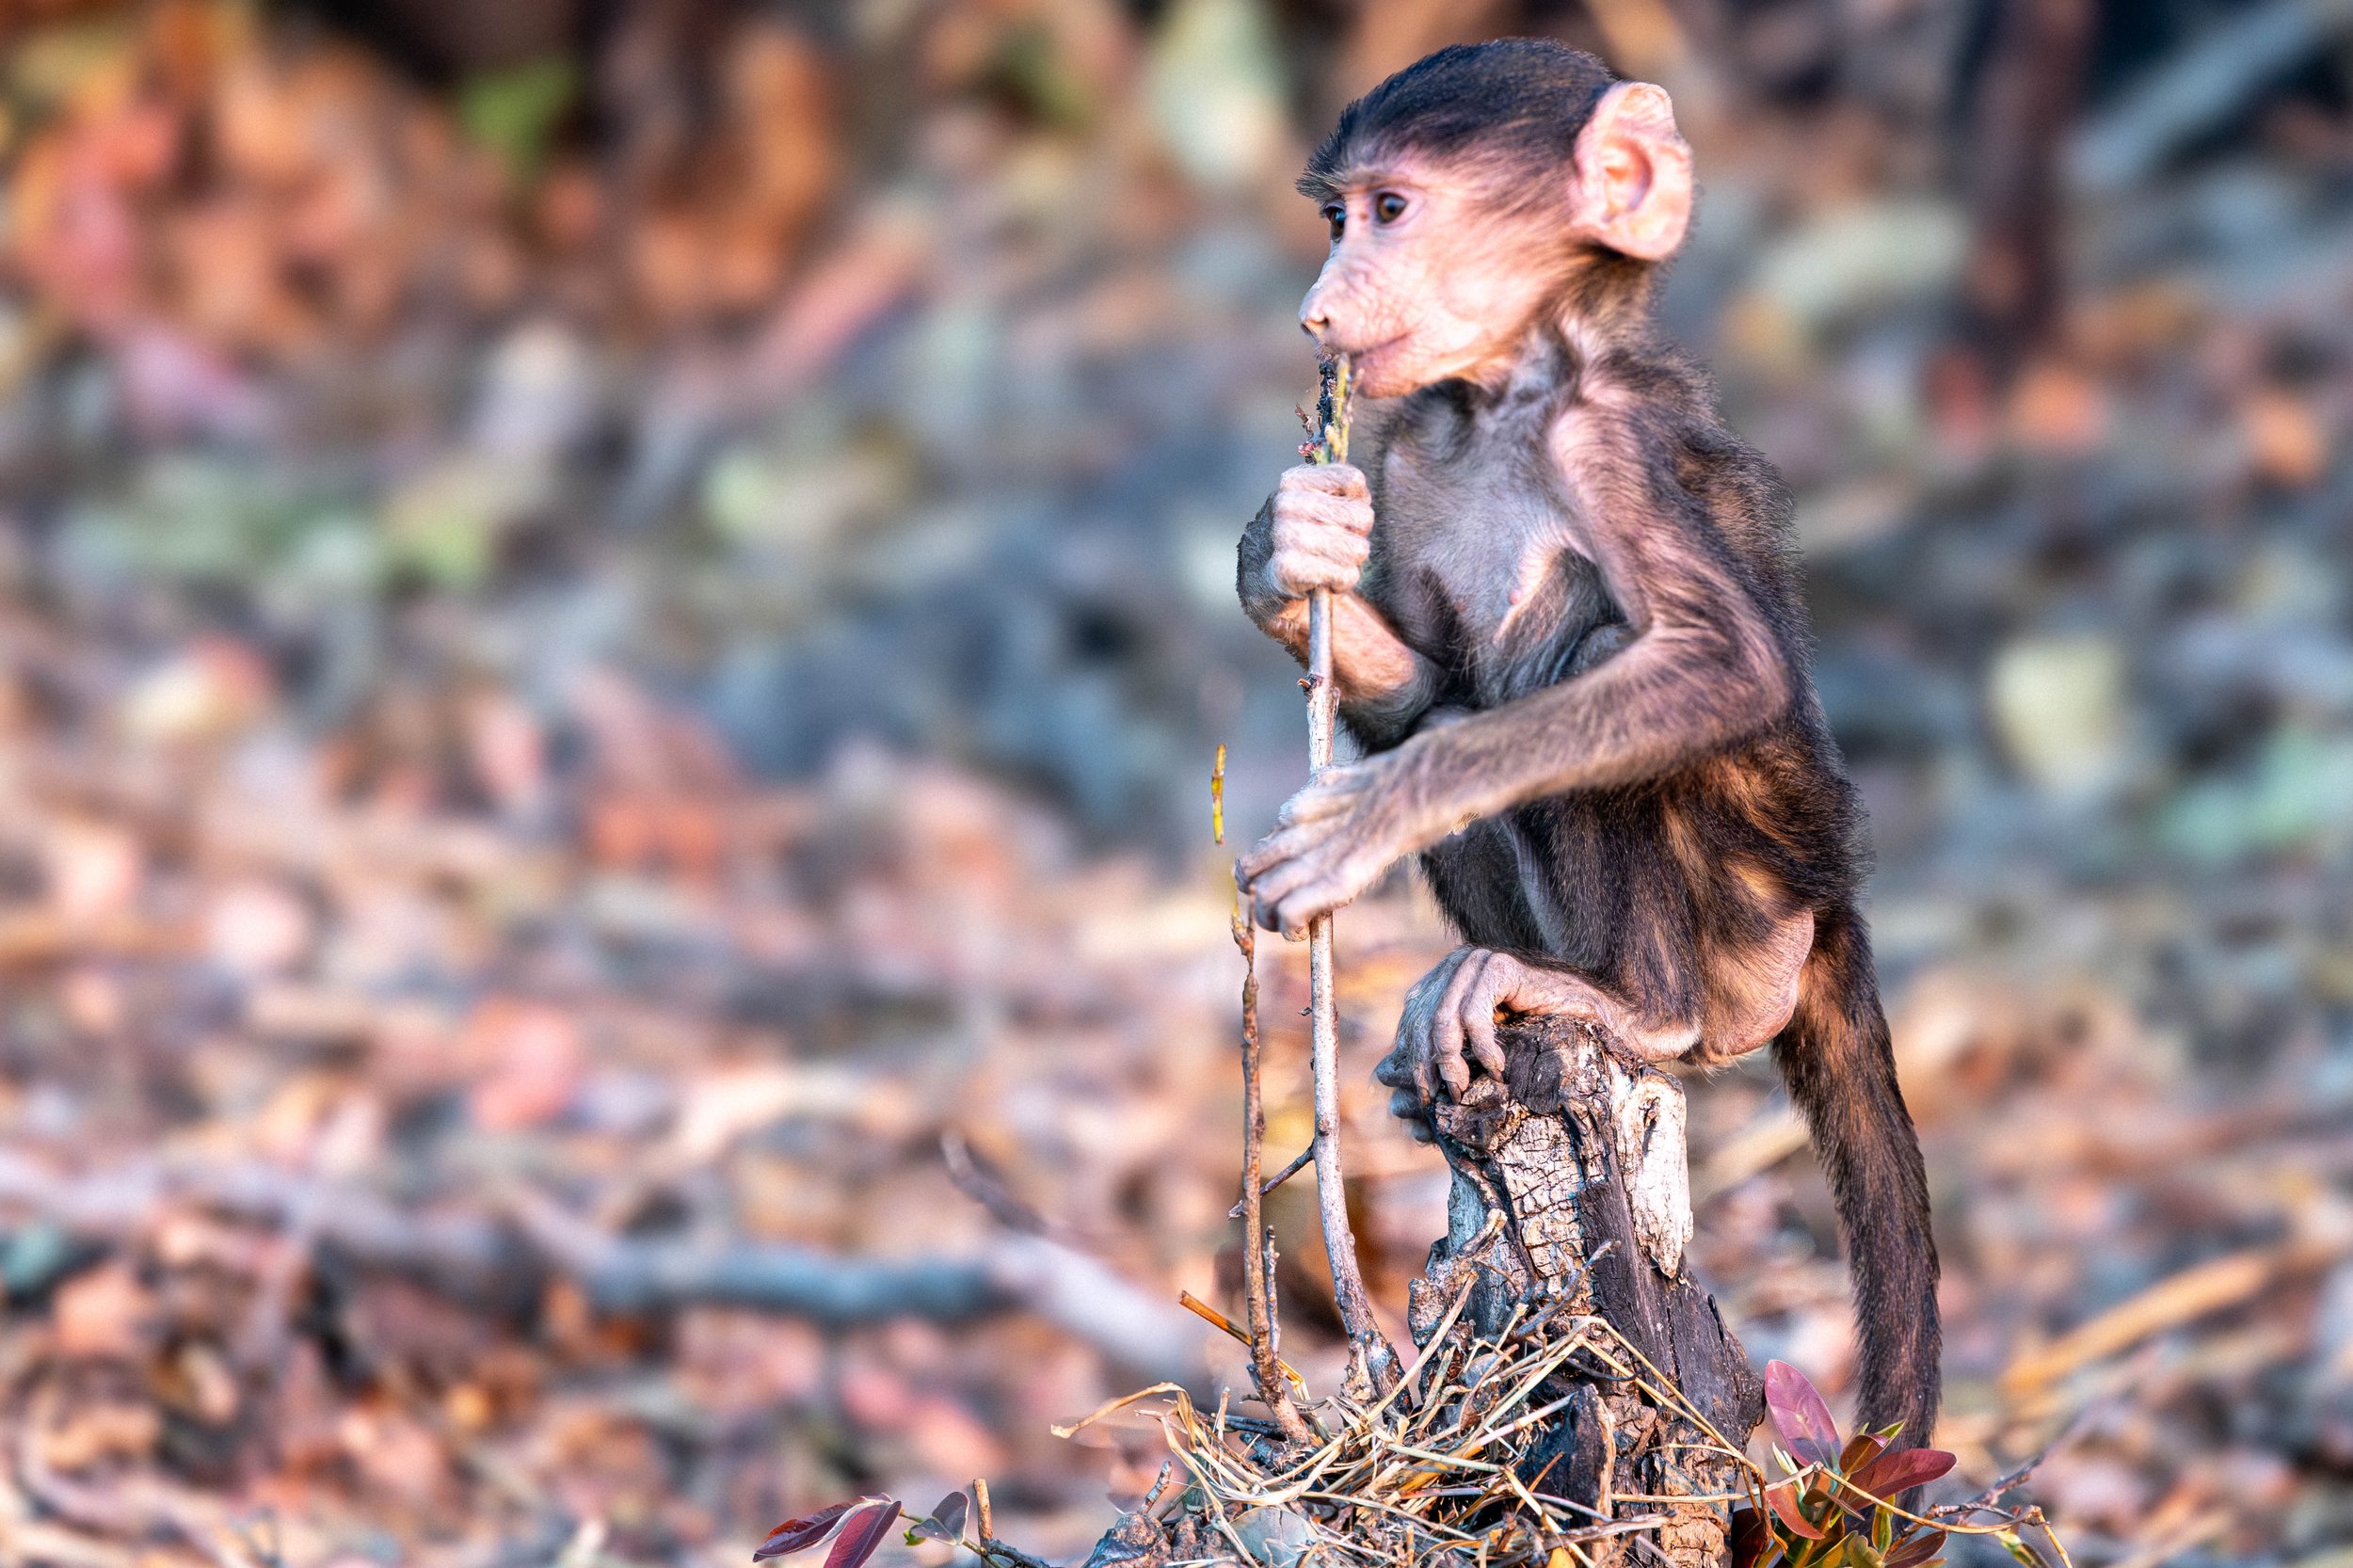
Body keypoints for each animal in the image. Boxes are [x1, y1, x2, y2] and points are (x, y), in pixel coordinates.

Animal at [1232, 40, 1940, 1446]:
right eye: (1337, 218)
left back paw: (1629, 1004)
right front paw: (1288, 554)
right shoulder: (1409, 448)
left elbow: (1721, 665)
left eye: (1390, 210)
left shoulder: (1603, 444)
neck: (1503, 400)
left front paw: (1370, 815)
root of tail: (1829, 908)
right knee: (1467, 706)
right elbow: (1426, 679)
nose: (1318, 311)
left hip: (1751, 922)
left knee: (1585, 674)